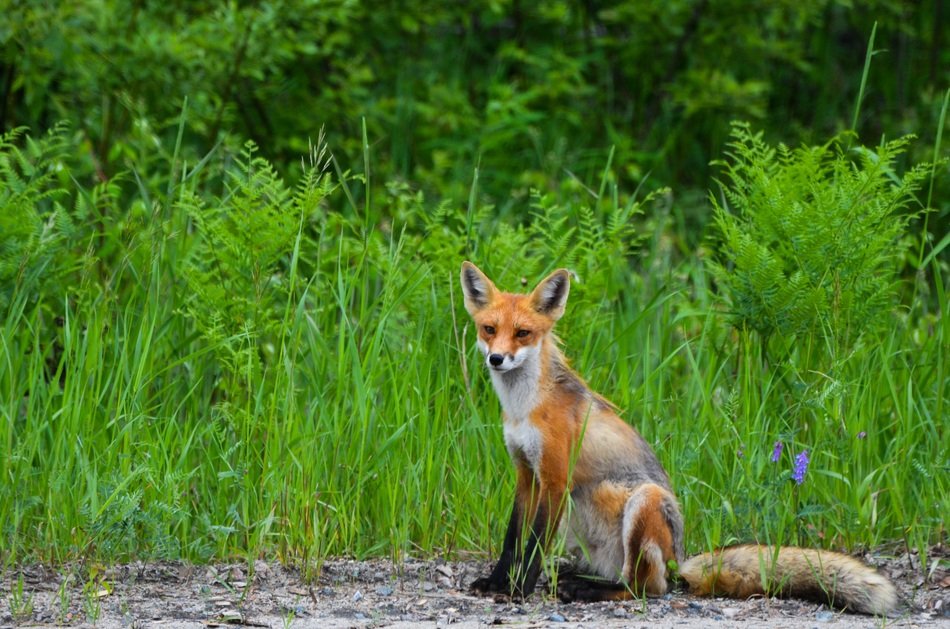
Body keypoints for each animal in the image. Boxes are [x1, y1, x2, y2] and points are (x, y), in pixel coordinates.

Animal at [459, 261, 898, 616]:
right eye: (489, 329)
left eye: (523, 333)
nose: (496, 359)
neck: (524, 408)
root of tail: (680, 559)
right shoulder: (525, 473)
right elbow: (511, 538)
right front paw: (497, 582)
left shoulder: (554, 478)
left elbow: (532, 546)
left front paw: (519, 591)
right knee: (630, 578)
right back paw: (580, 581)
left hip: (645, 501)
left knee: (647, 587)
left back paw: (587, 591)